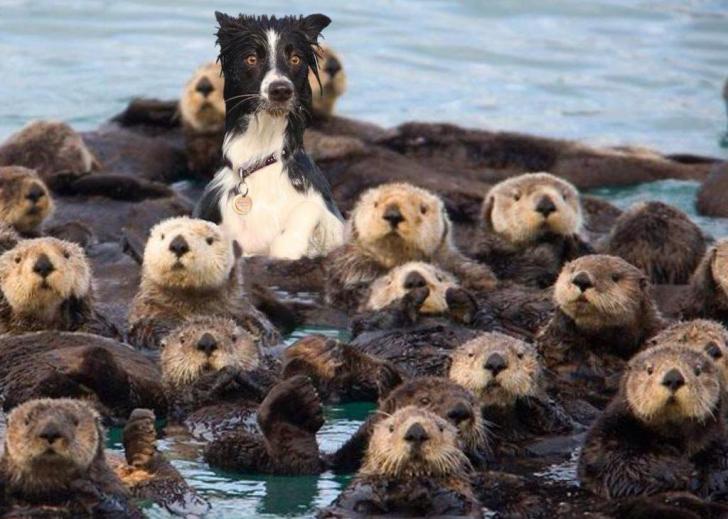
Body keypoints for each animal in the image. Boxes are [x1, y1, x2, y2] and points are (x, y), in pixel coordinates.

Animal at [0, 398, 141, 518]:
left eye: (75, 422)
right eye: (27, 421)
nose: (50, 432)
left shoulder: (114, 487)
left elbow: (129, 512)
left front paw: (84, 488)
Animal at [319, 406, 482, 518]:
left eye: (441, 428)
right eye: (391, 428)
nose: (416, 431)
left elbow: (456, 501)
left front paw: (426, 487)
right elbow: (354, 496)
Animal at [578, 345, 728, 499]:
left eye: (697, 370)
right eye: (649, 369)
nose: (673, 377)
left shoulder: (718, 438)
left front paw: (713, 478)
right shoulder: (607, 438)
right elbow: (622, 466)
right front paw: (679, 472)